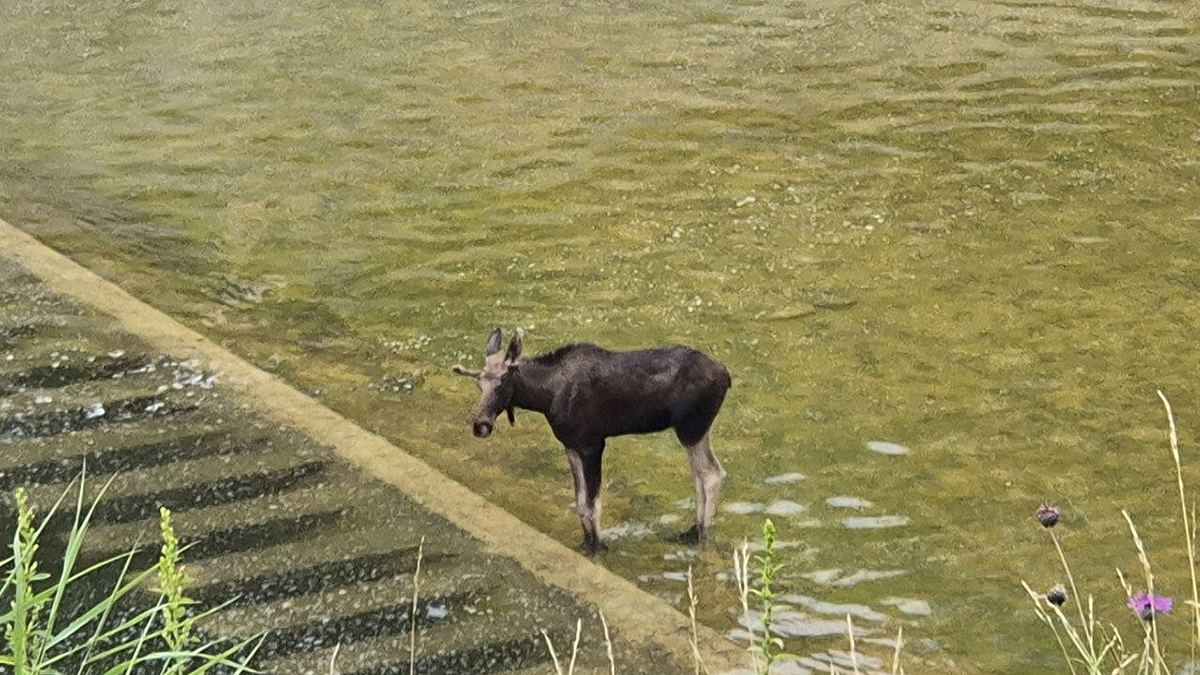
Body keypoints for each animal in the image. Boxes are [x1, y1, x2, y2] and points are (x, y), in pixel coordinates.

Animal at [452, 328, 731, 554]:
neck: (545, 397)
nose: (480, 425)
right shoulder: (571, 446)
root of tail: (727, 376)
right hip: (694, 431)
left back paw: (700, 534)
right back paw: (692, 530)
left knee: (712, 473)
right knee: (702, 474)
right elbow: (579, 502)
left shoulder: (592, 444)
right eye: (479, 383)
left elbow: (592, 504)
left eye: (503, 382)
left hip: (691, 429)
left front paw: (598, 546)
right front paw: (586, 542)